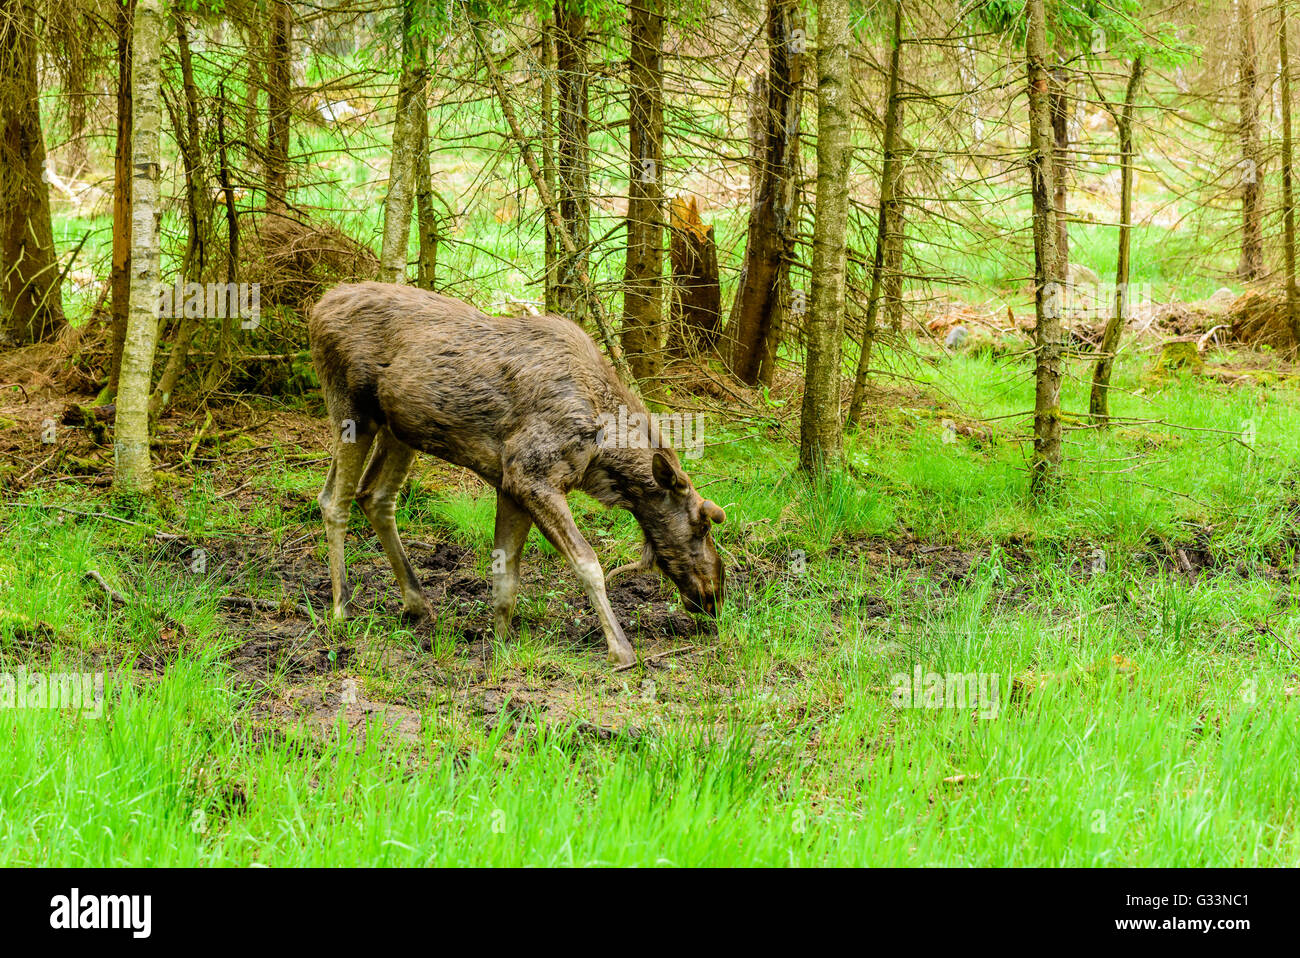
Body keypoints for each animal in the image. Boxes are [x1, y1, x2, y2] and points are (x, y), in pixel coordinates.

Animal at [309, 280, 728, 660]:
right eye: (703, 524)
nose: (716, 595)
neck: (601, 453)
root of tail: (317, 308)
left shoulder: (510, 484)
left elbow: (507, 576)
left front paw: (501, 641)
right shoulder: (531, 475)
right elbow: (587, 562)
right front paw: (620, 650)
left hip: (399, 429)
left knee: (374, 496)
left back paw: (417, 603)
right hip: (352, 409)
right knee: (335, 501)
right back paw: (341, 608)